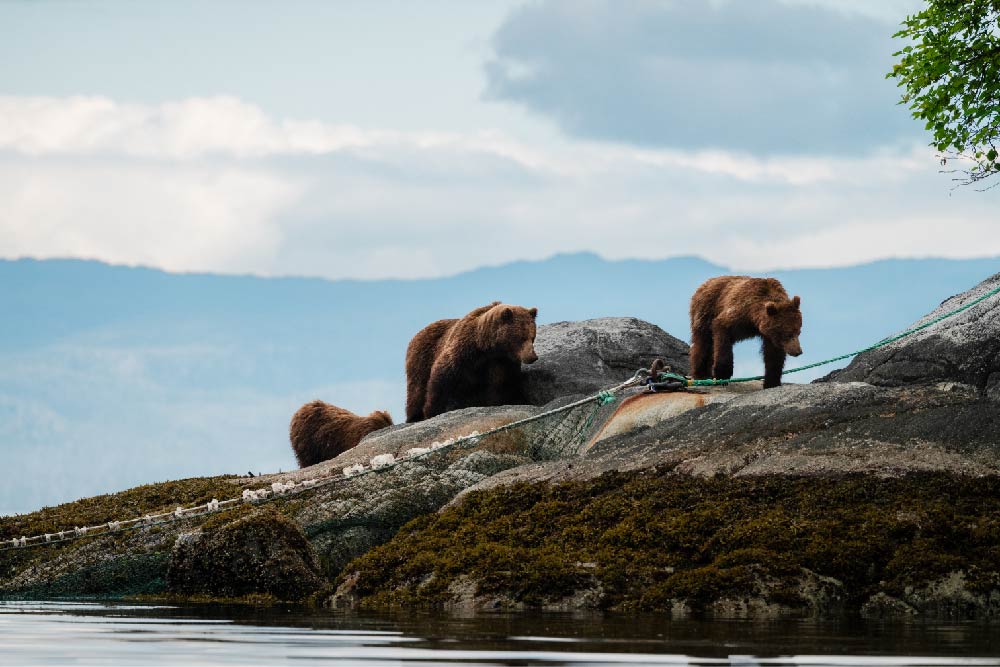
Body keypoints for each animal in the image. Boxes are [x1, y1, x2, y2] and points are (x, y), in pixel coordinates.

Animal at [405, 301, 539, 422]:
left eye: (532, 337)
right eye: (521, 338)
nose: (532, 357)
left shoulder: (501, 363)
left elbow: (504, 385)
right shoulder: (462, 353)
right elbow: (441, 377)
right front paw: (431, 411)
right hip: (421, 357)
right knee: (417, 388)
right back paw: (414, 416)